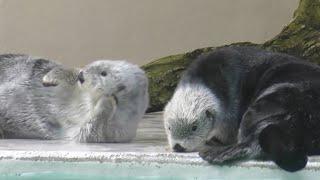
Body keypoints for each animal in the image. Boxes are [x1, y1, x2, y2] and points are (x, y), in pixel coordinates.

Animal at [0, 54, 149, 143]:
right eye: (95, 65)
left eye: (104, 73)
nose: (82, 76)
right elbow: (66, 70)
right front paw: (50, 77)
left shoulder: (113, 133)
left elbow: (87, 131)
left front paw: (109, 100)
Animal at [164, 46, 320, 172]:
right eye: (169, 128)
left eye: (194, 127)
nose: (178, 147)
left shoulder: (231, 108)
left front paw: (215, 140)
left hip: (266, 105)